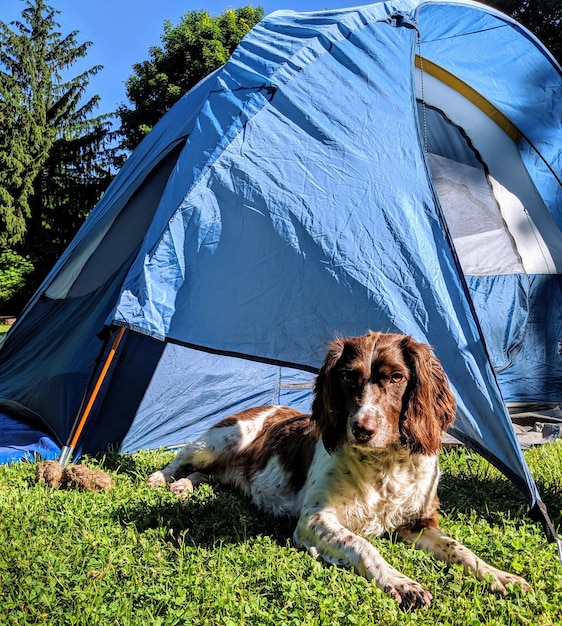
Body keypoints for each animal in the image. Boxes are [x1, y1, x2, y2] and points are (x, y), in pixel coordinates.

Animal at [148, 332, 528, 604]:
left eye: (397, 377)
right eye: (348, 378)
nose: (362, 428)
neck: (384, 465)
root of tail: (265, 405)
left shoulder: (416, 523)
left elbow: (459, 548)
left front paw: (501, 576)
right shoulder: (314, 519)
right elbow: (362, 545)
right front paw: (402, 583)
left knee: (208, 474)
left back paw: (184, 486)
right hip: (222, 439)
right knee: (185, 457)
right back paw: (163, 479)